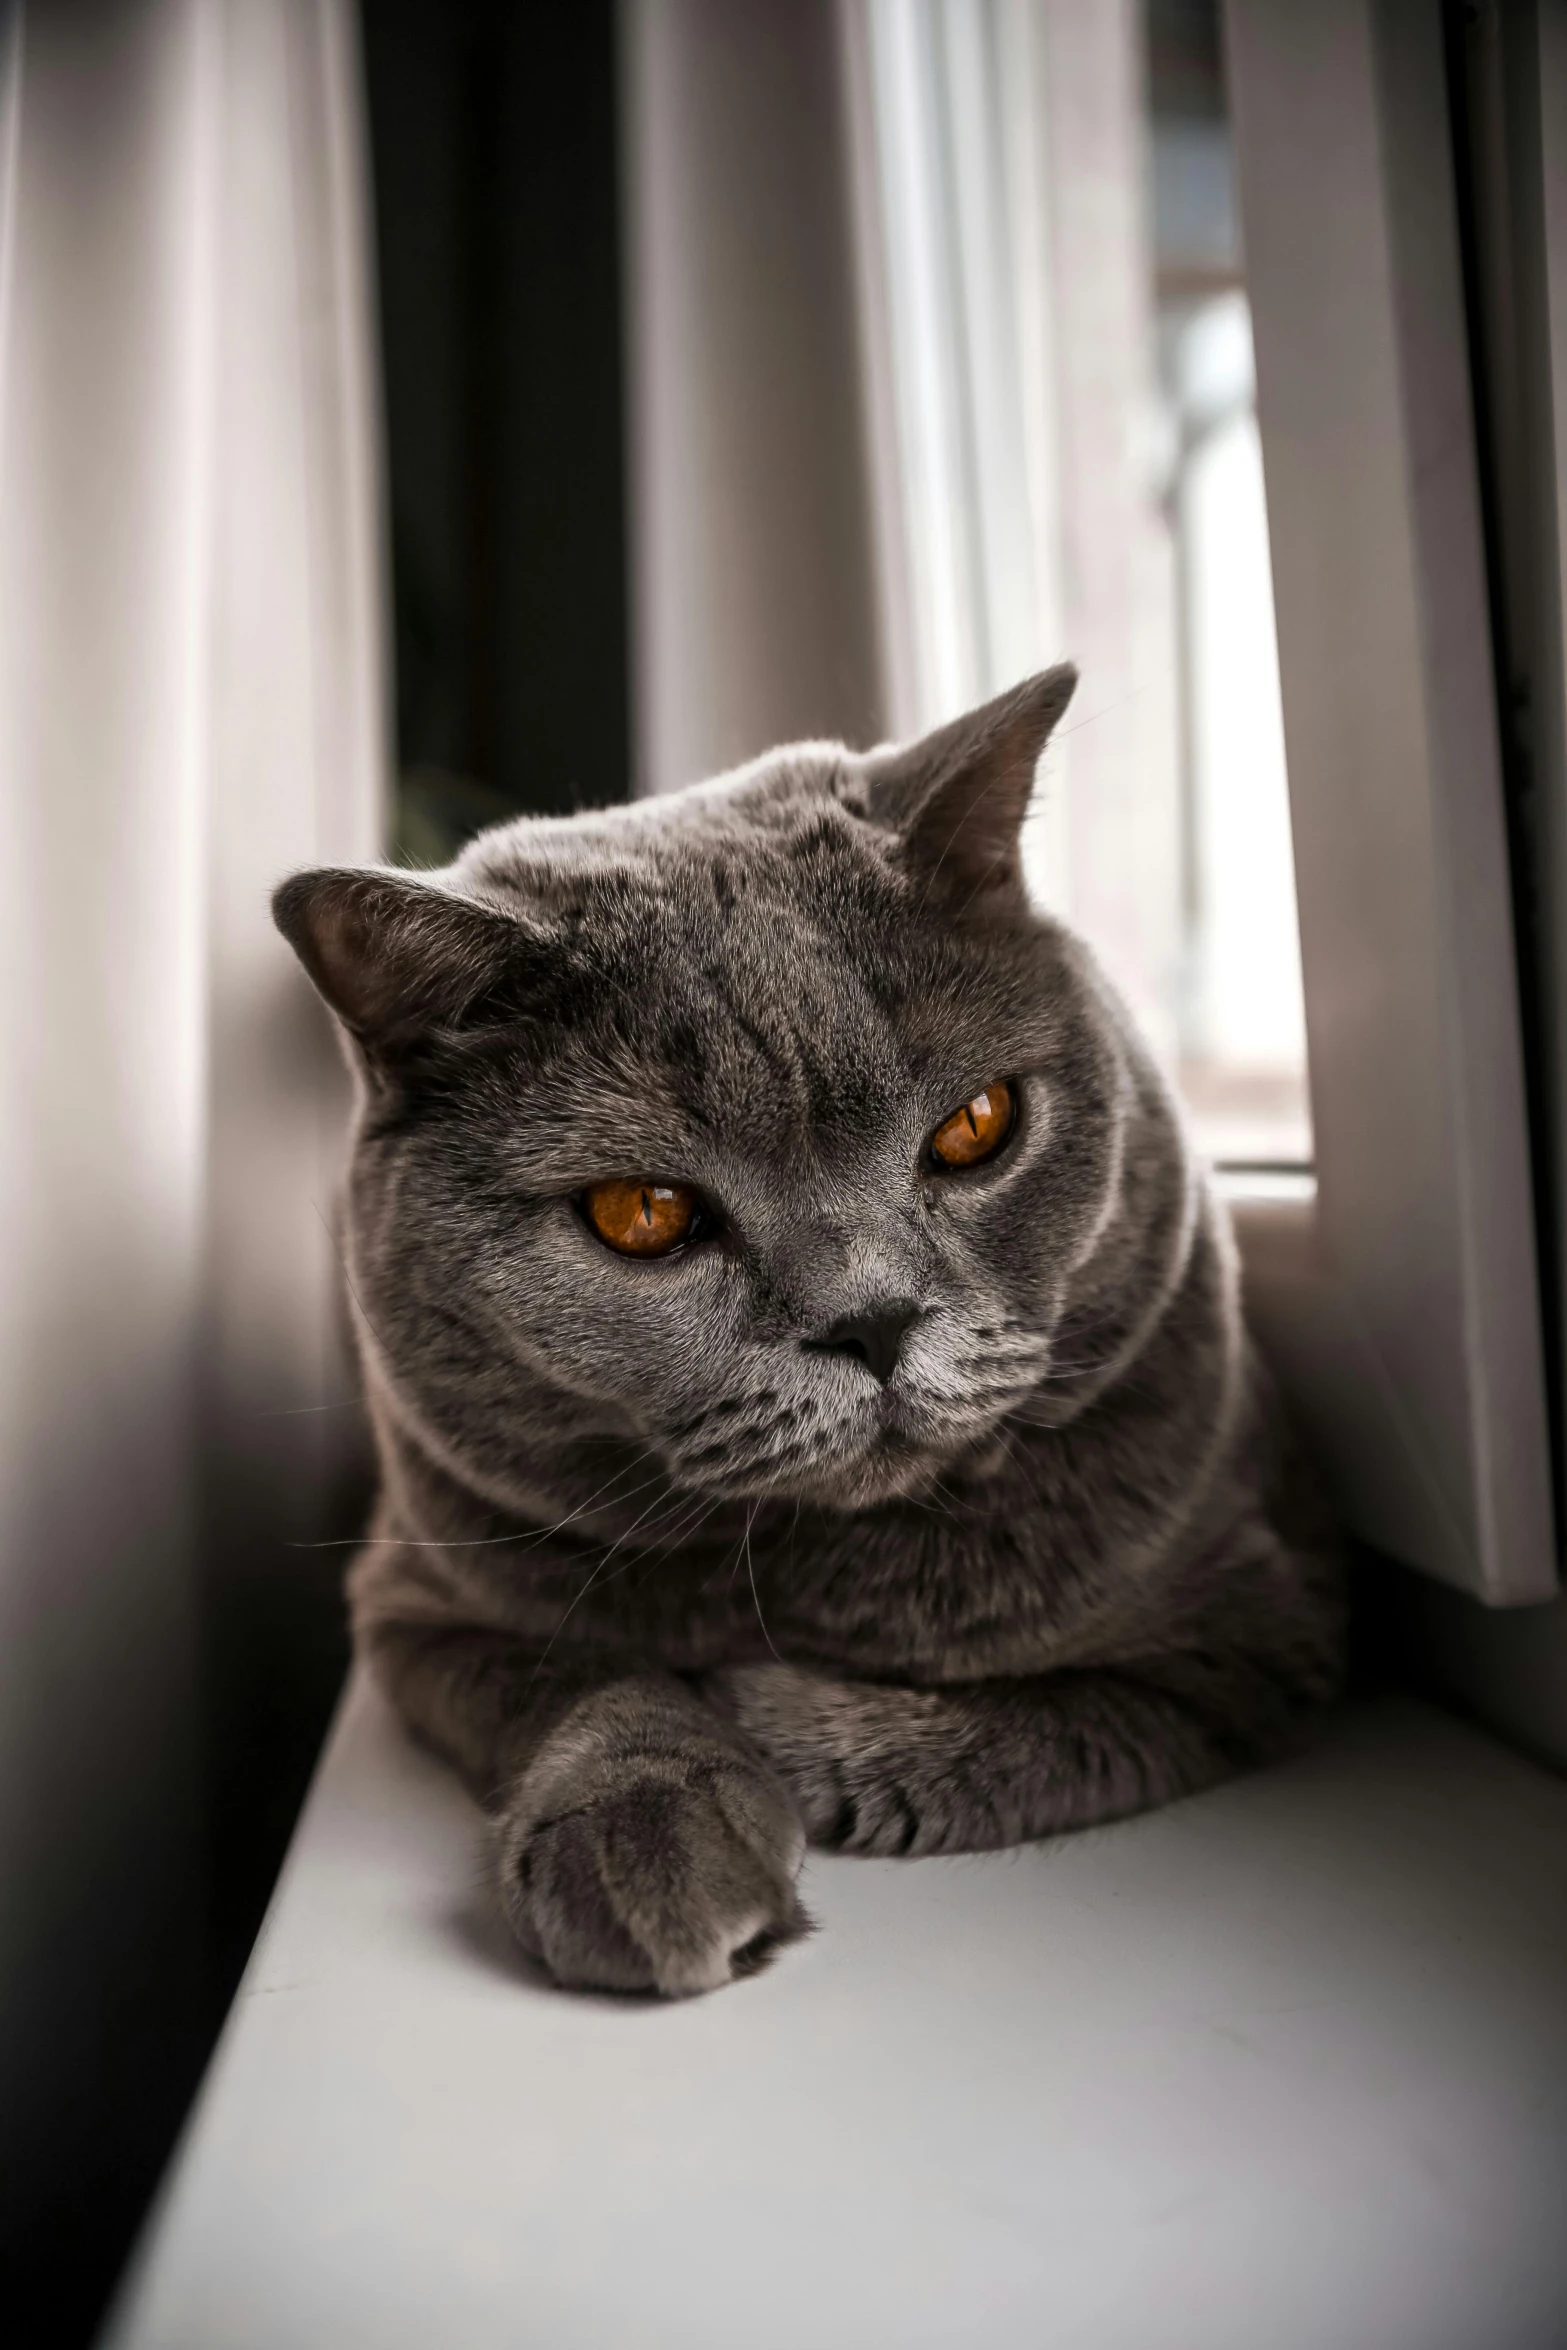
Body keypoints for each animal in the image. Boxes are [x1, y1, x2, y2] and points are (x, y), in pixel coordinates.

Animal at [276, 667, 1343, 2002]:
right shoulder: (414, 1595)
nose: (872, 1319)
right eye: (644, 1212)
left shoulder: (1258, 1630)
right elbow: (579, 1664)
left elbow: (1051, 1723)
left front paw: (769, 1719)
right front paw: (645, 1822)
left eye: (975, 1124)